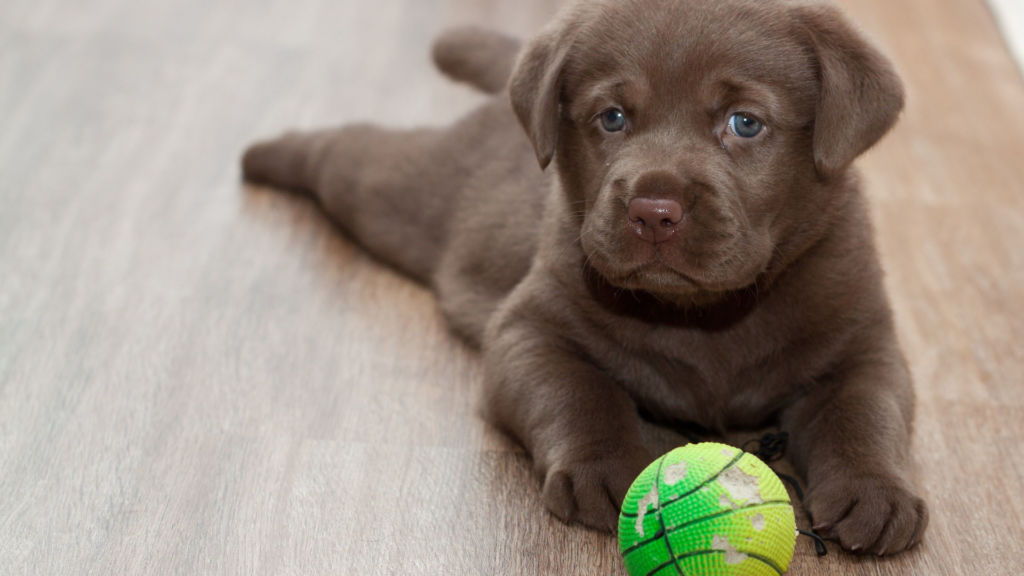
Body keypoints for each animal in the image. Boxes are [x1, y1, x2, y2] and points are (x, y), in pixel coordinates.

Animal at [241, 0, 929, 553]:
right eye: (613, 118)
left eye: (745, 123)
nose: (653, 210)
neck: (705, 316)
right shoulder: (528, 330)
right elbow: (578, 390)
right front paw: (607, 466)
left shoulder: (863, 339)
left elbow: (865, 410)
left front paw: (876, 490)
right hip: (398, 195)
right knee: (346, 151)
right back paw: (264, 154)